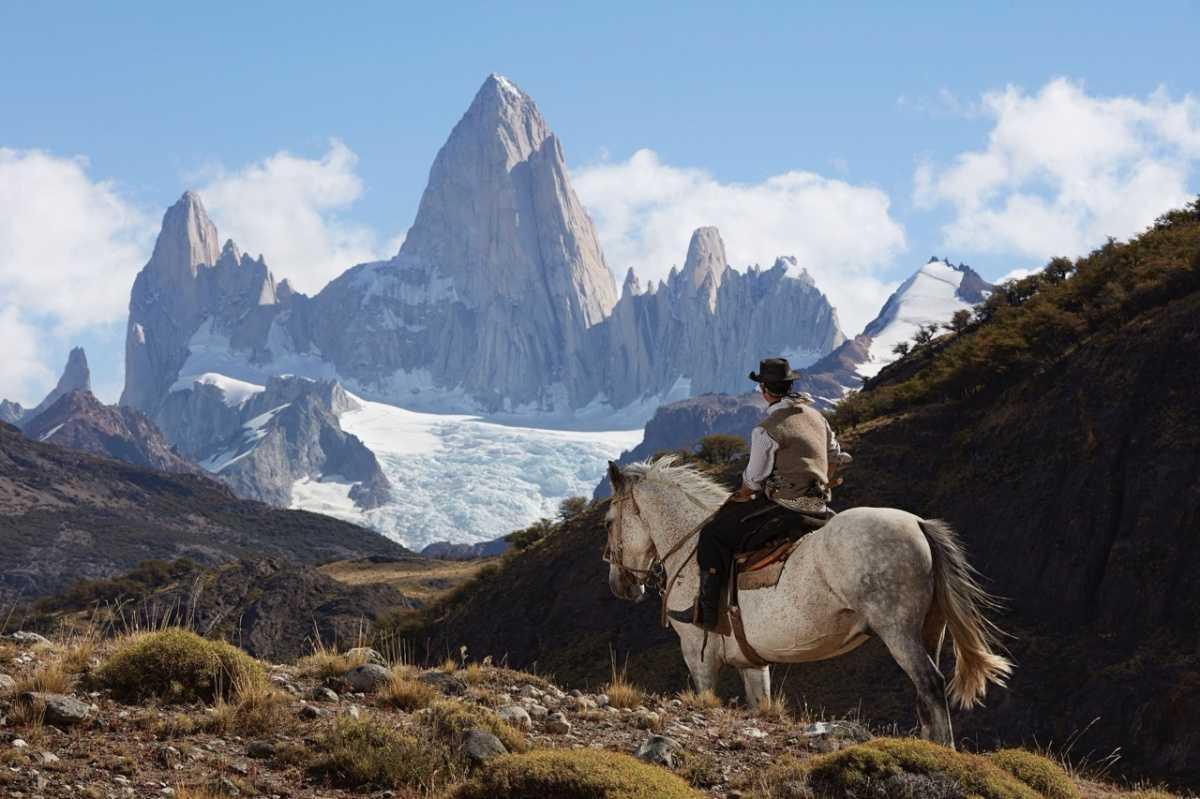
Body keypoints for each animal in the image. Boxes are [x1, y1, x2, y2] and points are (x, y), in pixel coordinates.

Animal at [603, 456, 1012, 746]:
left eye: (608, 521)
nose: (621, 585)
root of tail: (918, 524)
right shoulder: (753, 664)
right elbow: (760, 704)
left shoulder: (698, 655)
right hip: (930, 630)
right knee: (924, 692)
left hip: (898, 631)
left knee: (929, 683)